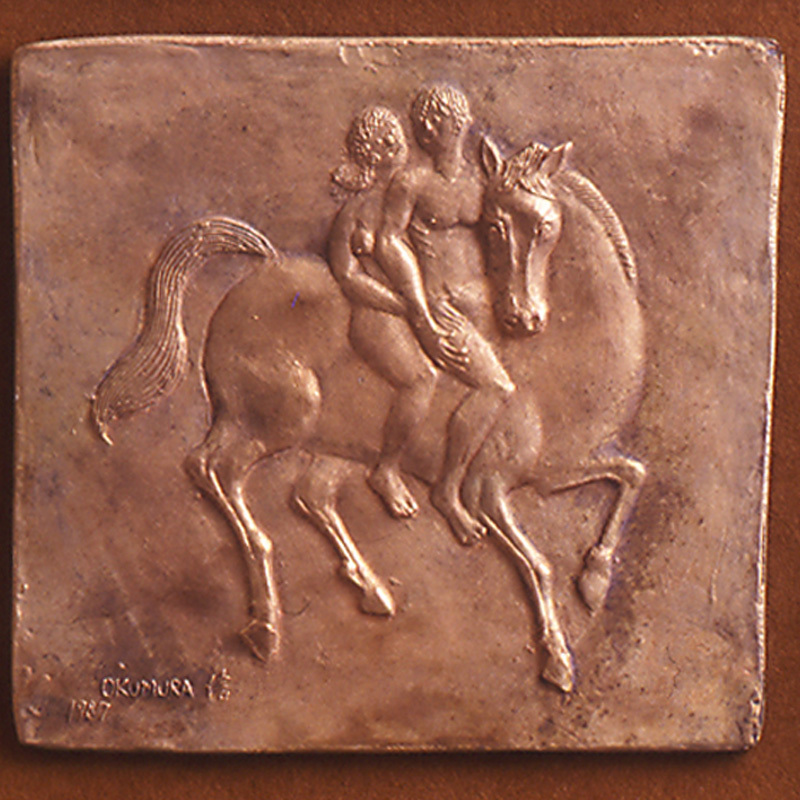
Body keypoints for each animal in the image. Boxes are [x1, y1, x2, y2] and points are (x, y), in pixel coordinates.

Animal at [91, 136, 645, 693]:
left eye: (546, 226)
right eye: (495, 225)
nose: (522, 316)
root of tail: (262, 270)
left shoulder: (556, 471)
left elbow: (630, 474)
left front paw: (595, 581)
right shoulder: (490, 485)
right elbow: (539, 563)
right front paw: (557, 658)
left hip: (323, 440)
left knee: (305, 493)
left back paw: (371, 588)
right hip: (280, 418)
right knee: (215, 470)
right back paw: (266, 624)